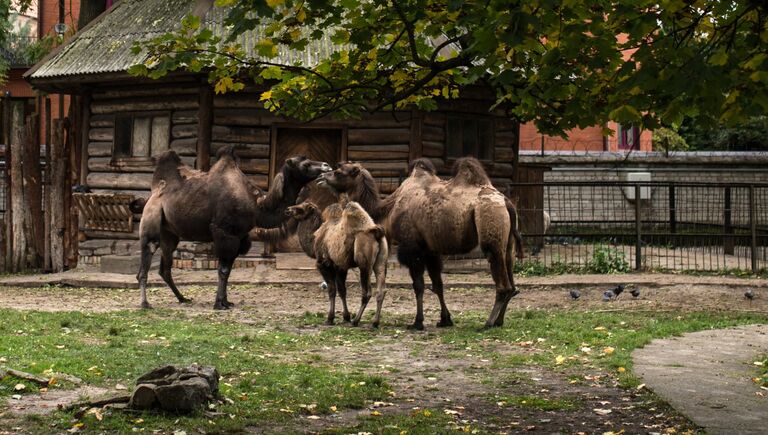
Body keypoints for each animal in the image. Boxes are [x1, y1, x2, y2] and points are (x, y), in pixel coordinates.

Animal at [135, 148, 330, 312]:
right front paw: (219, 304)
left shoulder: (239, 237)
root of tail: (153, 193)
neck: (256, 206)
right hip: (151, 219)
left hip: (169, 233)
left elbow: (228, 271)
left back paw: (183, 298)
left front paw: (226, 301)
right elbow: (222, 270)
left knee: (165, 268)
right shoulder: (224, 233)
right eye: (305, 164)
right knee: (147, 254)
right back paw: (145, 303)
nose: (326, 166)